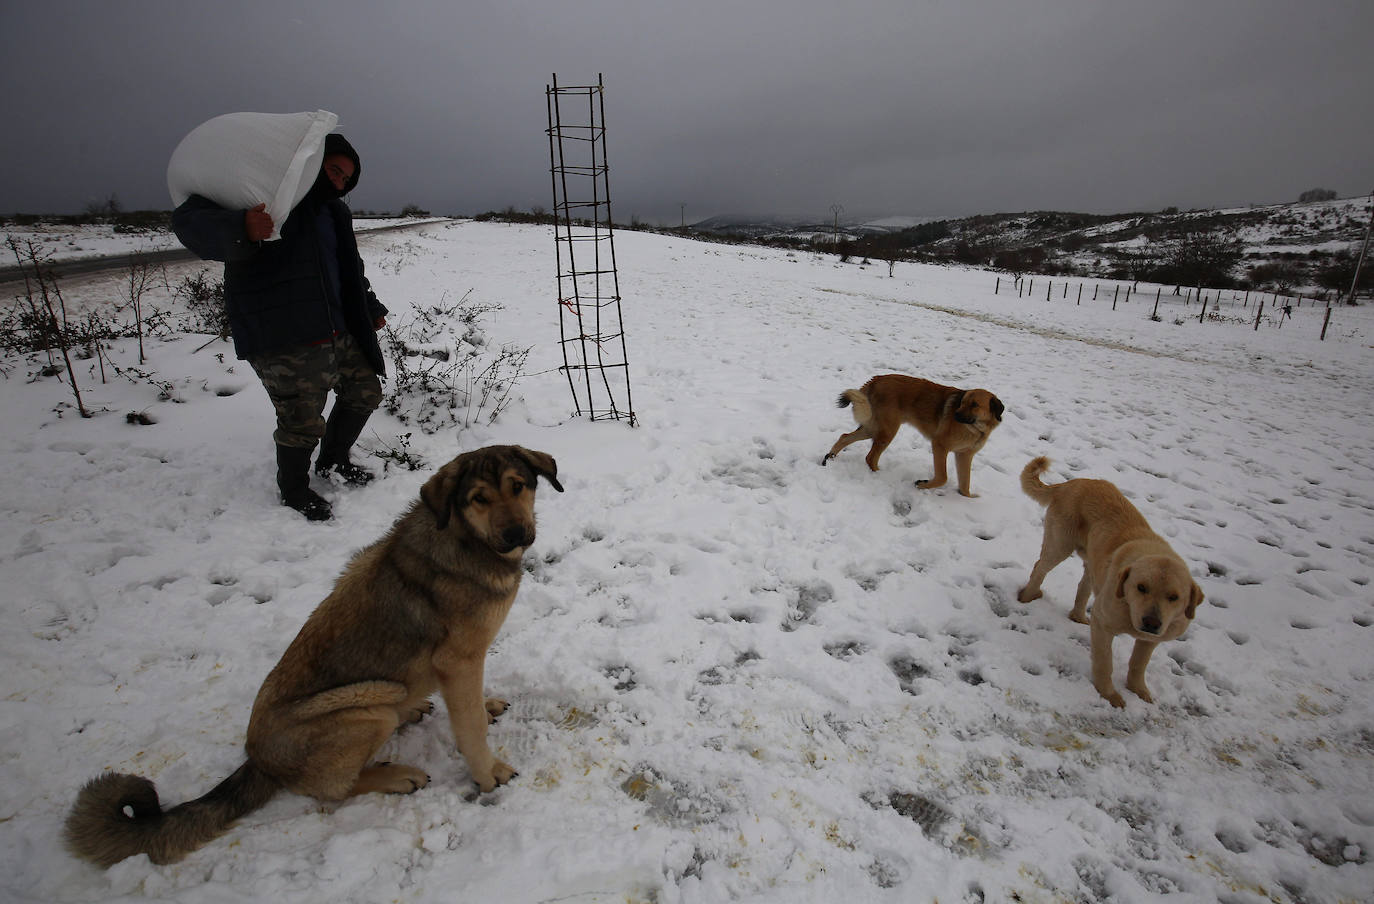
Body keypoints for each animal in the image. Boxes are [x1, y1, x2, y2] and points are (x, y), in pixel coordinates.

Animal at [65, 442, 563, 868]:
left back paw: (412, 709)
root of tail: (259, 761)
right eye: (478, 498)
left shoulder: (461, 666)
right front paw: (488, 773)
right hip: (364, 708)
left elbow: (471, 708)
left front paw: (486, 704)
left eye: (519, 486)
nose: (516, 532)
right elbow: (470, 726)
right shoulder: (457, 662)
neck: (466, 540)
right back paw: (396, 774)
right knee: (334, 788)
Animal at [818, 370, 1005, 497]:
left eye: (974, 404)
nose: (955, 415)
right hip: (887, 430)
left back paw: (830, 457)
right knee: (870, 457)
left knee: (845, 437)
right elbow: (942, 477)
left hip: (873, 427)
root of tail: (876, 379)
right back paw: (879, 475)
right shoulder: (940, 446)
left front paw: (968, 498)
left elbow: (965, 484)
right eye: (962, 402)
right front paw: (922, 484)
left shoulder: (964, 455)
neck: (977, 429)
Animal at [1022, 458, 1203, 703]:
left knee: (1082, 587)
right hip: (1060, 545)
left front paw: (1139, 691)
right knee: (1039, 567)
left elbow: (1138, 664)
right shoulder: (1102, 625)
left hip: (1092, 562)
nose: (1151, 622)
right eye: (1141, 587)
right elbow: (1104, 663)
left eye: (1174, 597)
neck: (1129, 606)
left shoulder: (1150, 639)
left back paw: (1078, 616)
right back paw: (1027, 596)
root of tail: (1070, 483)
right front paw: (1109, 695)